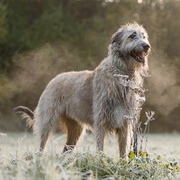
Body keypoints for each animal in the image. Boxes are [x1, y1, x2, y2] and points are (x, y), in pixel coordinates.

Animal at [14, 22, 151, 159]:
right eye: (132, 36)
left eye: (144, 36)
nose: (147, 46)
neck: (121, 73)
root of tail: (52, 81)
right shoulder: (101, 120)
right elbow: (100, 146)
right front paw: (101, 160)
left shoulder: (125, 122)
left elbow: (123, 150)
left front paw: (123, 162)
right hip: (47, 120)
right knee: (42, 144)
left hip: (75, 128)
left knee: (66, 149)